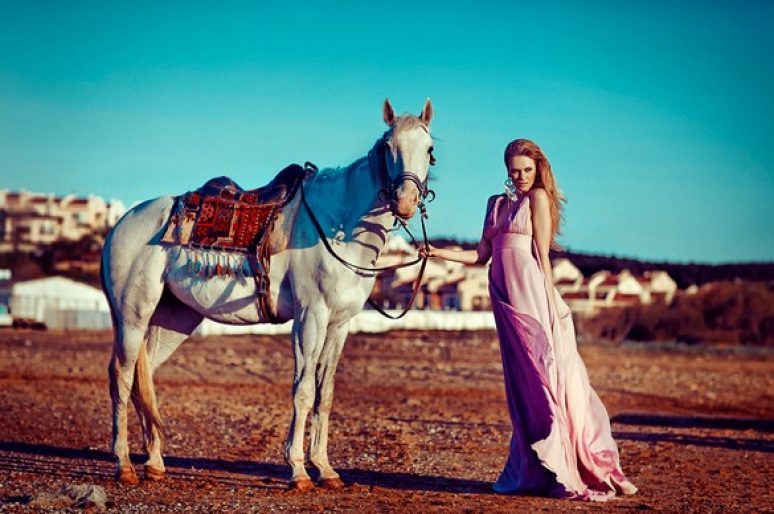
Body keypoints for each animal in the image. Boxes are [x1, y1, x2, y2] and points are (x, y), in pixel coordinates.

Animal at [101, 99, 436, 488]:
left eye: (429, 150)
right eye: (387, 147)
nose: (405, 201)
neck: (338, 224)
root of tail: (120, 225)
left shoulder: (339, 324)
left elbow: (325, 394)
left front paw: (325, 469)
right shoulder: (310, 317)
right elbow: (303, 391)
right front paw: (299, 470)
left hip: (175, 317)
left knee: (146, 377)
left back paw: (154, 463)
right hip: (132, 314)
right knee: (122, 375)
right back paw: (124, 465)